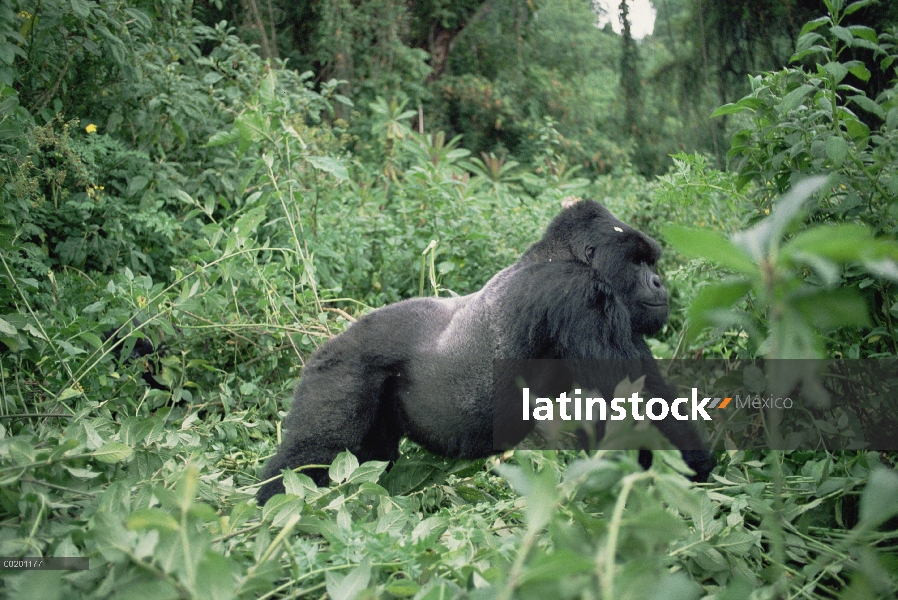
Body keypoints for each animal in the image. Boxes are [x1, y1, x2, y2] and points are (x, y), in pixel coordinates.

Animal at [256, 200, 712, 502]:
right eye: (637, 263)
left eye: (652, 262)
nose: (660, 284)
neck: (559, 254)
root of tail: (328, 344)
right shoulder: (582, 295)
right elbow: (631, 404)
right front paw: (692, 474)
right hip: (341, 371)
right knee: (311, 458)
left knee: (366, 461)